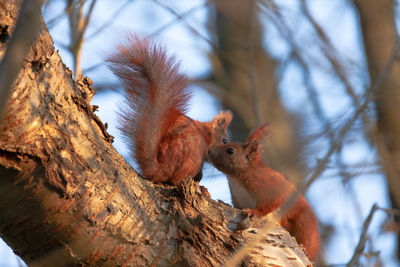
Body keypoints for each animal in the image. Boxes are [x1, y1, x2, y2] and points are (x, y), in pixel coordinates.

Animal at [208, 124, 320, 262]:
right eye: (225, 141)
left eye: (230, 150)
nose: (209, 151)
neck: (235, 179)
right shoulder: (237, 199)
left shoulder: (270, 188)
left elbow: (269, 205)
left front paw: (253, 212)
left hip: (305, 224)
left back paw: (305, 248)